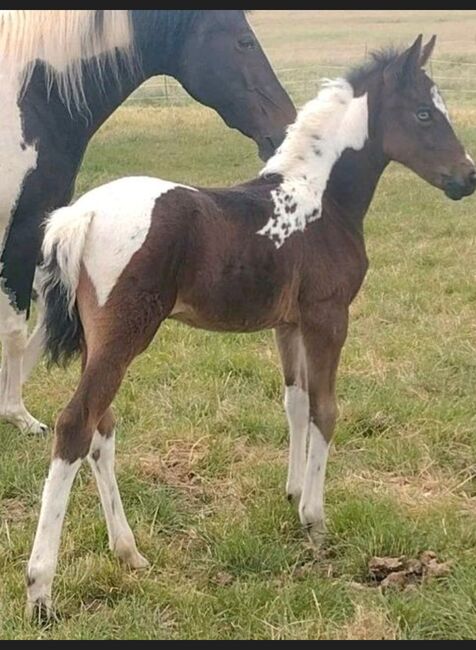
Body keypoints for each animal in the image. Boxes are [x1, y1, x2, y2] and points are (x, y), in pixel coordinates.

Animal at [0, 8, 296, 430]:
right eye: (245, 42)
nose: (286, 127)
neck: (29, 99)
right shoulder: (23, 231)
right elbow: (15, 329)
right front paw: (17, 415)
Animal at [27, 36, 474, 616]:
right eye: (423, 113)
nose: (467, 177)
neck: (320, 201)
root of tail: (80, 215)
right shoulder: (329, 315)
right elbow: (327, 410)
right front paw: (315, 521)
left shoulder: (288, 324)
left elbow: (296, 402)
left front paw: (293, 494)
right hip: (125, 337)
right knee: (75, 425)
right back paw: (40, 589)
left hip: (100, 342)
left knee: (101, 428)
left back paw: (128, 552)